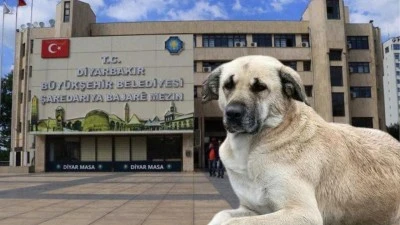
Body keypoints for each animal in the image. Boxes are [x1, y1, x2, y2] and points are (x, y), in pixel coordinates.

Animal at [202, 55, 400, 225]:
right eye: (228, 85)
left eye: (260, 87)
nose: (232, 113)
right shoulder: (252, 209)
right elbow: (222, 215)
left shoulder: (303, 212)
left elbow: (233, 222)